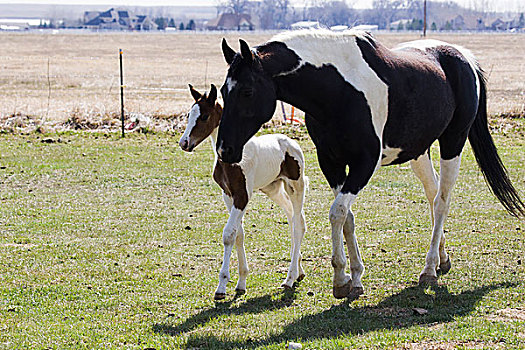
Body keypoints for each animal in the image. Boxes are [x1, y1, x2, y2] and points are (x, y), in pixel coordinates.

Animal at [179, 85, 308, 300]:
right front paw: (241, 283)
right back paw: (299, 271)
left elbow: (229, 234)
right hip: (273, 189)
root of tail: (291, 143)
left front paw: (221, 287)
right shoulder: (228, 195)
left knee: (298, 225)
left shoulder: (242, 196)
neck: (230, 159)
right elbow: (239, 233)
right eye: (189, 115)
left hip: (295, 187)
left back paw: (289, 278)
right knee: (292, 218)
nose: (184, 143)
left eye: (204, 116)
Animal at [215, 28, 520, 300]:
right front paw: (355, 278)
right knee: (433, 195)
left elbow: (337, 213)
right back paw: (442, 258)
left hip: (452, 143)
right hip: (420, 152)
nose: (224, 150)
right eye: (223, 92)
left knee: (442, 202)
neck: (338, 90)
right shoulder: (332, 163)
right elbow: (347, 218)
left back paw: (429, 269)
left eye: (247, 91)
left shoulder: (364, 164)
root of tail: (463, 57)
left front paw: (340, 279)